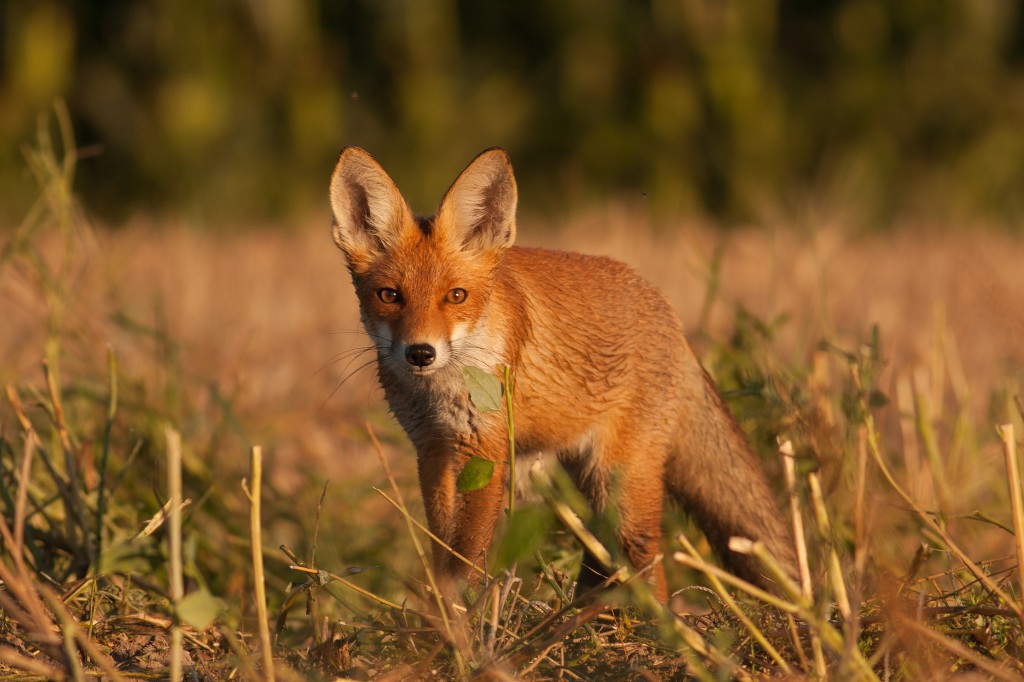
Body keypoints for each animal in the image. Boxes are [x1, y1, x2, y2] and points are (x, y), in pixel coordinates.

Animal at [331, 146, 794, 598]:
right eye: (389, 295)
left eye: (456, 296)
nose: (421, 353)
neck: (439, 394)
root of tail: (669, 313)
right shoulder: (433, 450)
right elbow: (443, 551)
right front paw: (440, 614)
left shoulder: (485, 451)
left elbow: (467, 559)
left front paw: (462, 618)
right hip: (587, 479)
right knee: (600, 560)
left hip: (621, 484)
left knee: (647, 563)